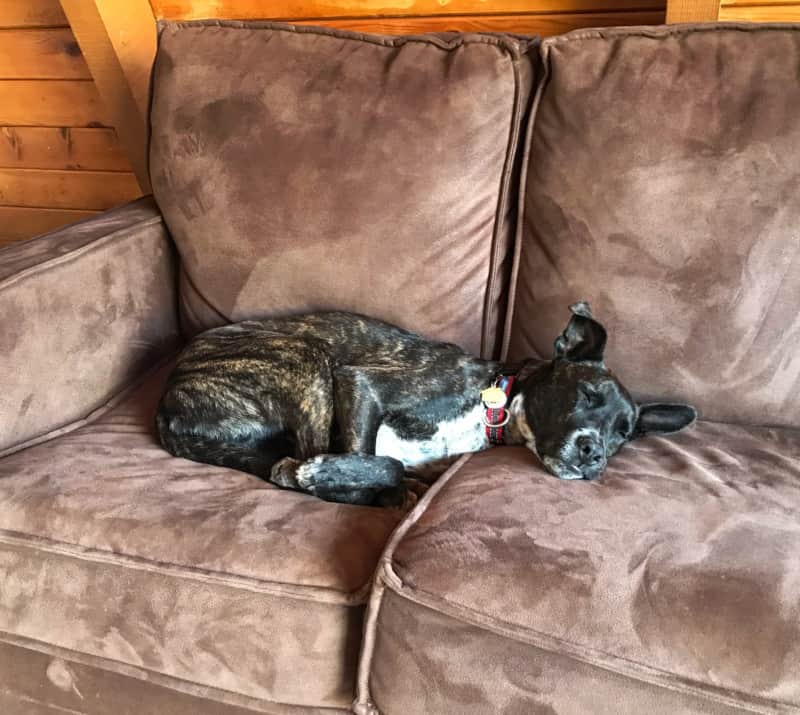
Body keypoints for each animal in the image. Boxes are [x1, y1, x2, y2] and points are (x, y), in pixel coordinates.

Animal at [155, 304, 692, 506]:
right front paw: (337, 477)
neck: (492, 405)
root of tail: (167, 399)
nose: (594, 454)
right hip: (309, 359)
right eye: (587, 394)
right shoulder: (360, 383)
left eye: (624, 434)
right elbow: (380, 461)